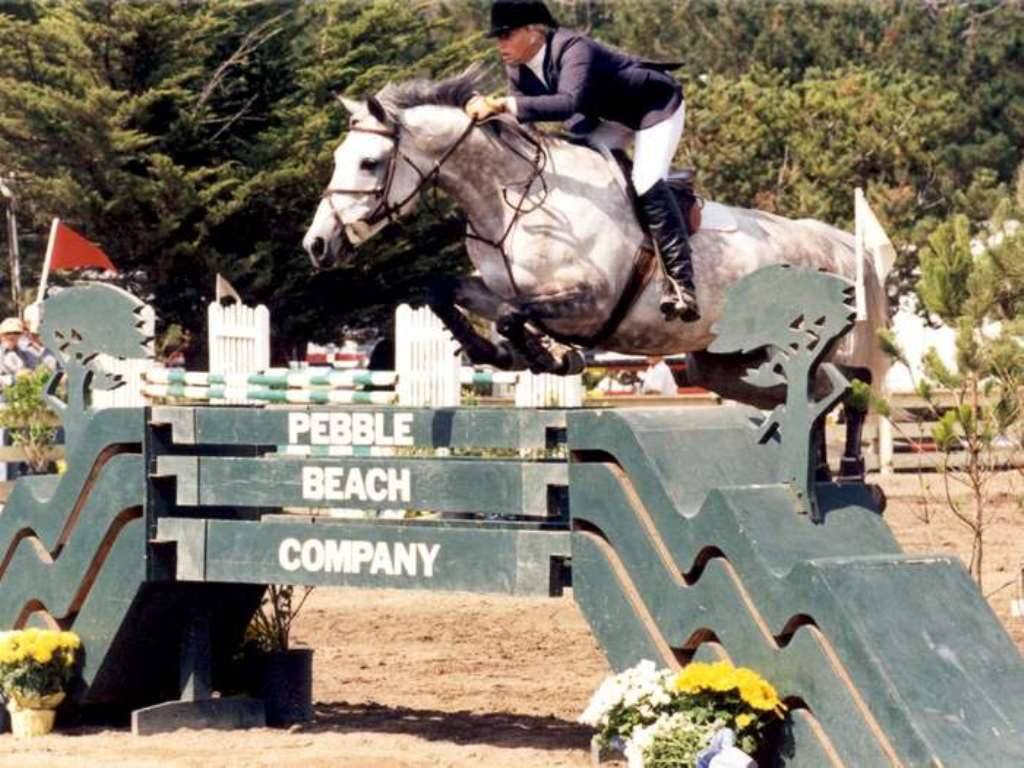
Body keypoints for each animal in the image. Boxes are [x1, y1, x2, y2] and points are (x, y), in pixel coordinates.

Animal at [302, 66, 890, 479]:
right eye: (339, 157)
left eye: (370, 163)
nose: (317, 245)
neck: (511, 197)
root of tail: (838, 244)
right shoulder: (496, 287)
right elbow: (448, 291)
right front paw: (498, 351)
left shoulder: (591, 301)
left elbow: (517, 315)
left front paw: (545, 355)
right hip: (721, 365)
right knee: (810, 393)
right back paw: (816, 467)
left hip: (816, 346)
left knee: (852, 386)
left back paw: (851, 469)